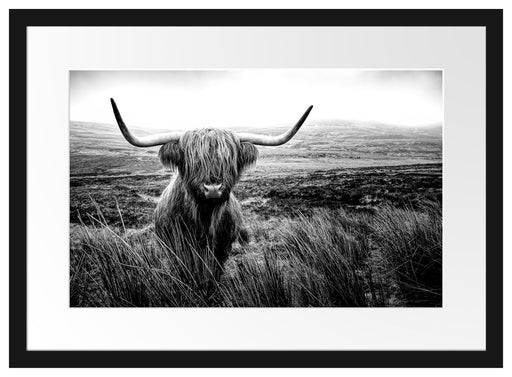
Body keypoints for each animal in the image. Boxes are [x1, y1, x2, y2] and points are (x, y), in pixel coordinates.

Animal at [109, 97, 312, 274]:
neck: (204, 219)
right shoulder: (177, 248)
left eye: (228, 159)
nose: (213, 189)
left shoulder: (222, 248)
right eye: (193, 160)